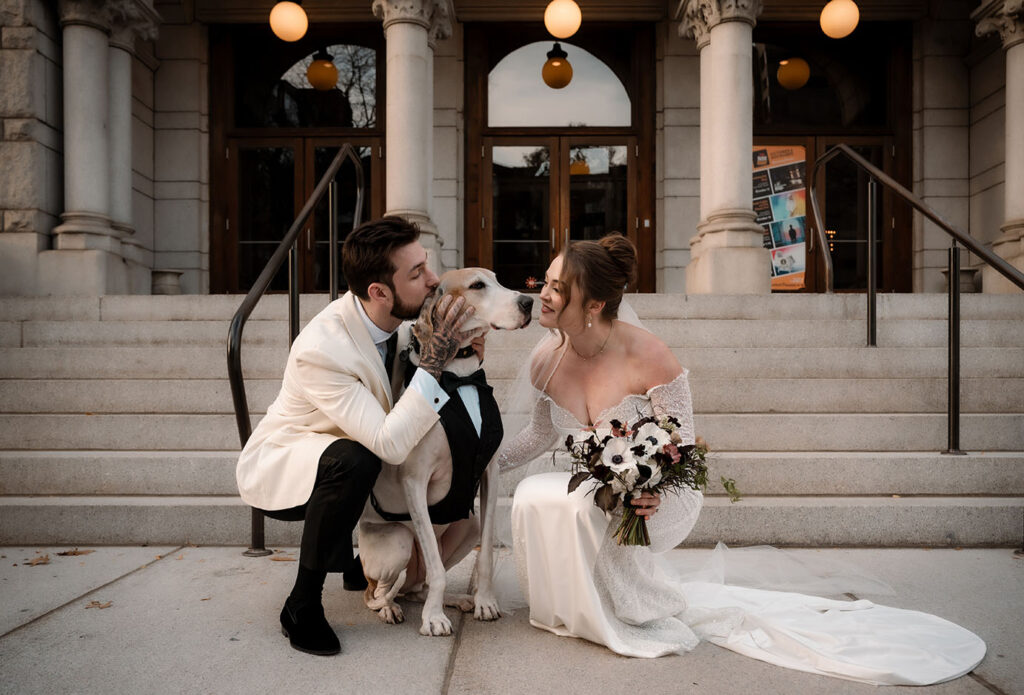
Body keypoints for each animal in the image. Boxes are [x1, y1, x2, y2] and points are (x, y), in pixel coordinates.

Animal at [358, 266, 536, 634]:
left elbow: (485, 556)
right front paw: (434, 618)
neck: (460, 375)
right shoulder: (415, 481)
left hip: (468, 525)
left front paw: (485, 601)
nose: (528, 302)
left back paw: (455, 600)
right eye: (478, 285)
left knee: (420, 585)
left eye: (497, 279)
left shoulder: (490, 473)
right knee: (380, 591)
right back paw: (391, 608)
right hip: (397, 542)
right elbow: (437, 568)